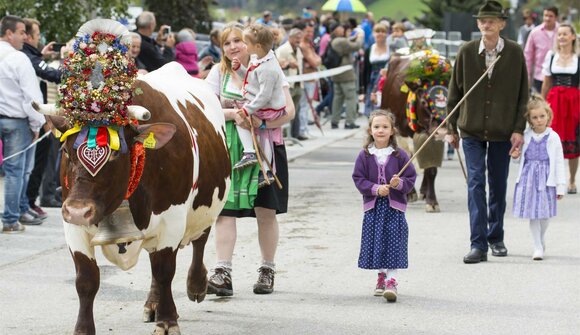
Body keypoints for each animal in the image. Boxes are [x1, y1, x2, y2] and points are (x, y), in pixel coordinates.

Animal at [34, 19, 231, 334]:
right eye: (64, 150)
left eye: (117, 154)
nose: (78, 210)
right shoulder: (73, 228)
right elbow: (86, 280)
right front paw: (83, 328)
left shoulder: (172, 219)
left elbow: (165, 270)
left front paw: (168, 320)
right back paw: (152, 303)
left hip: (207, 200)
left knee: (200, 239)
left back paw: (196, 285)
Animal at [380, 28, 454, 213]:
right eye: (424, 102)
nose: (442, 130)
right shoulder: (401, 133)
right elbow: (407, 162)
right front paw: (408, 194)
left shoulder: (432, 137)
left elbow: (431, 169)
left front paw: (432, 201)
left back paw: (423, 191)